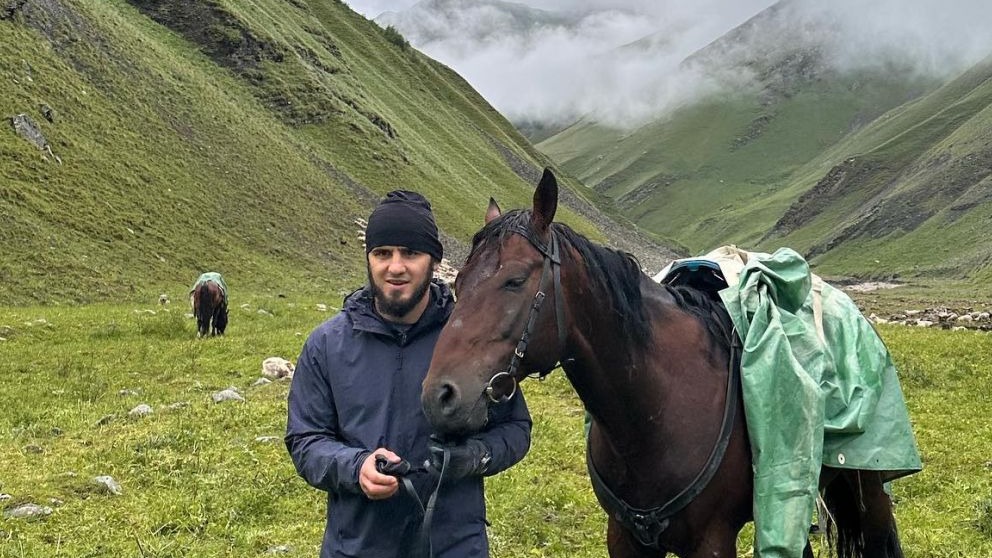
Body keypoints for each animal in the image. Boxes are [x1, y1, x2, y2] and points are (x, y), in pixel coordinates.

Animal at [418, 171, 908, 558]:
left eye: (516, 280)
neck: (654, 412)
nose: (439, 397)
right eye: (459, 281)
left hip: (867, 486)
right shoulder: (625, 538)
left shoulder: (711, 542)